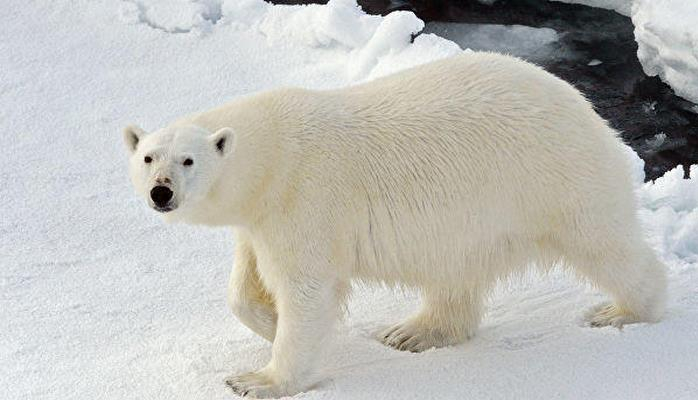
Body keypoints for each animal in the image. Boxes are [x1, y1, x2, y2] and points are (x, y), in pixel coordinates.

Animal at [122, 52, 668, 396]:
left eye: (188, 160)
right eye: (149, 157)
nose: (161, 192)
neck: (273, 154)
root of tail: (588, 109)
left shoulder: (305, 198)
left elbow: (307, 289)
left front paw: (259, 379)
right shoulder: (263, 215)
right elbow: (247, 280)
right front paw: (269, 323)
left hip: (554, 179)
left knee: (605, 244)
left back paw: (622, 310)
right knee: (456, 274)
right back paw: (412, 332)